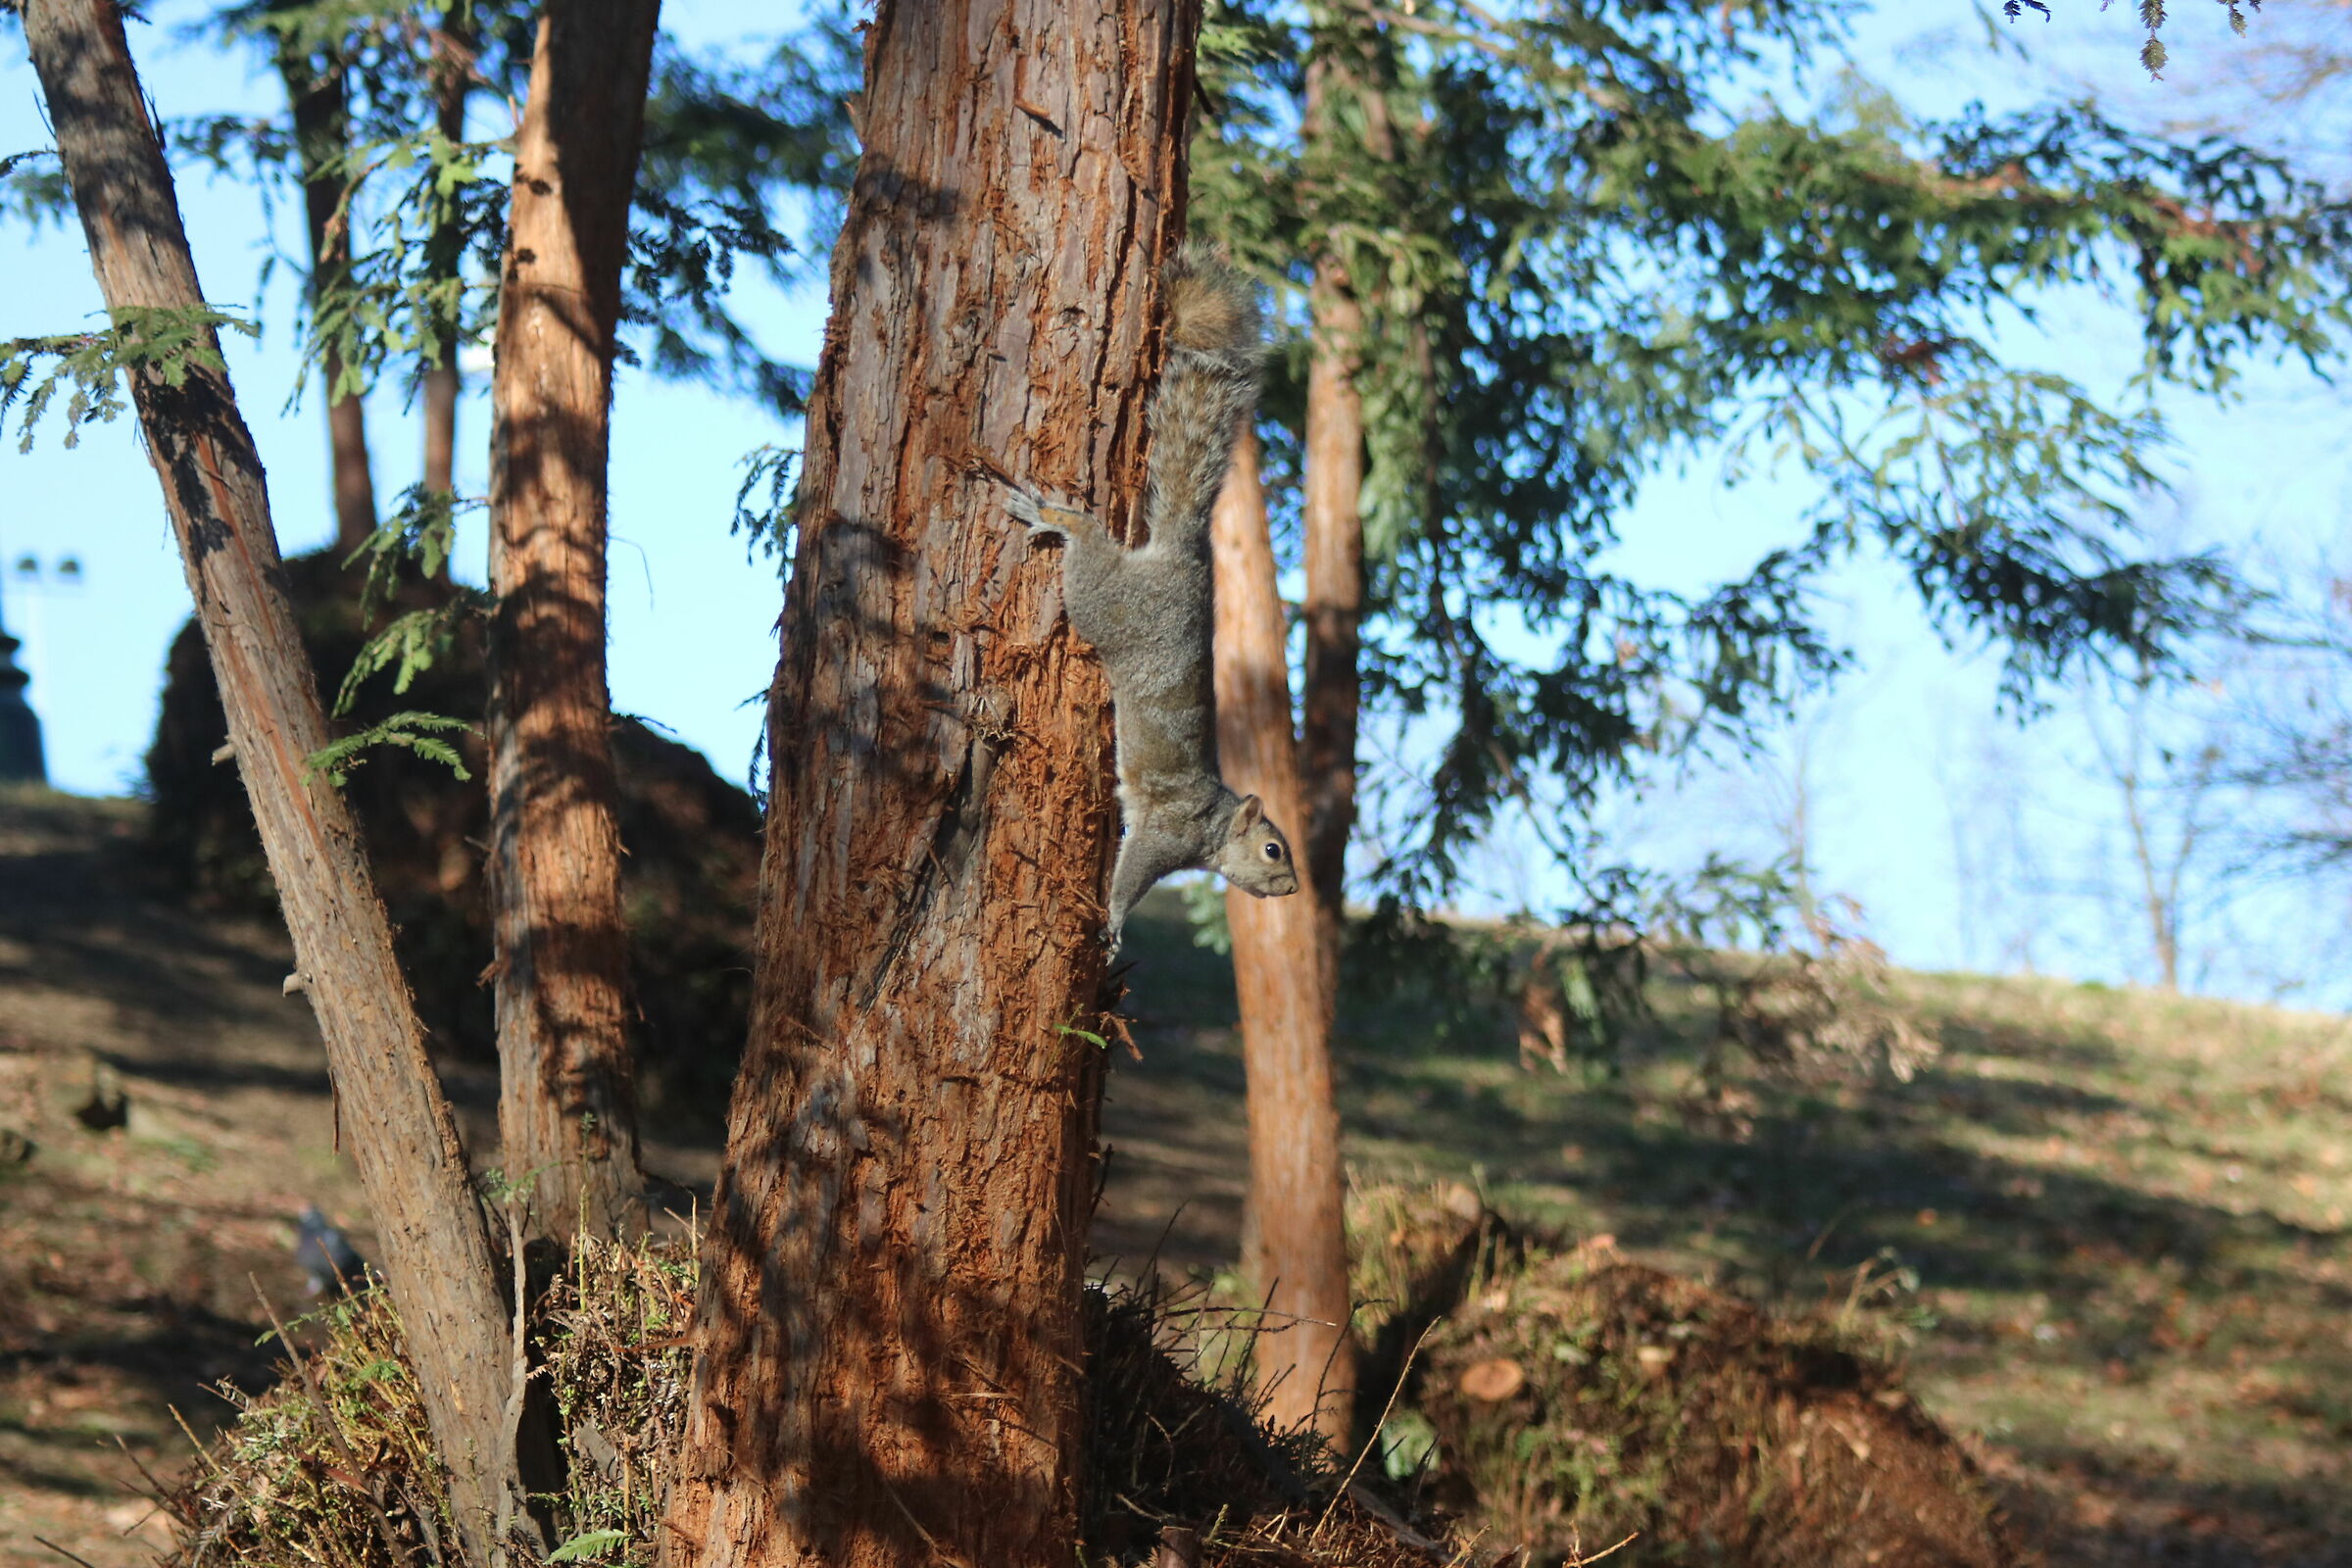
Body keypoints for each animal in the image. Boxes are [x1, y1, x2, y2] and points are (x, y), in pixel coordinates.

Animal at [1007, 247, 1301, 948]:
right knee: (1088, 546)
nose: (1292, 890)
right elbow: (1131, 875)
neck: (1215, 823)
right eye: (1273, 849)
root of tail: (1177, 559)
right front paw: (1113, 925)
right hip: (1105, 602)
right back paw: (1052, 516)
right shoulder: (1166, 835)